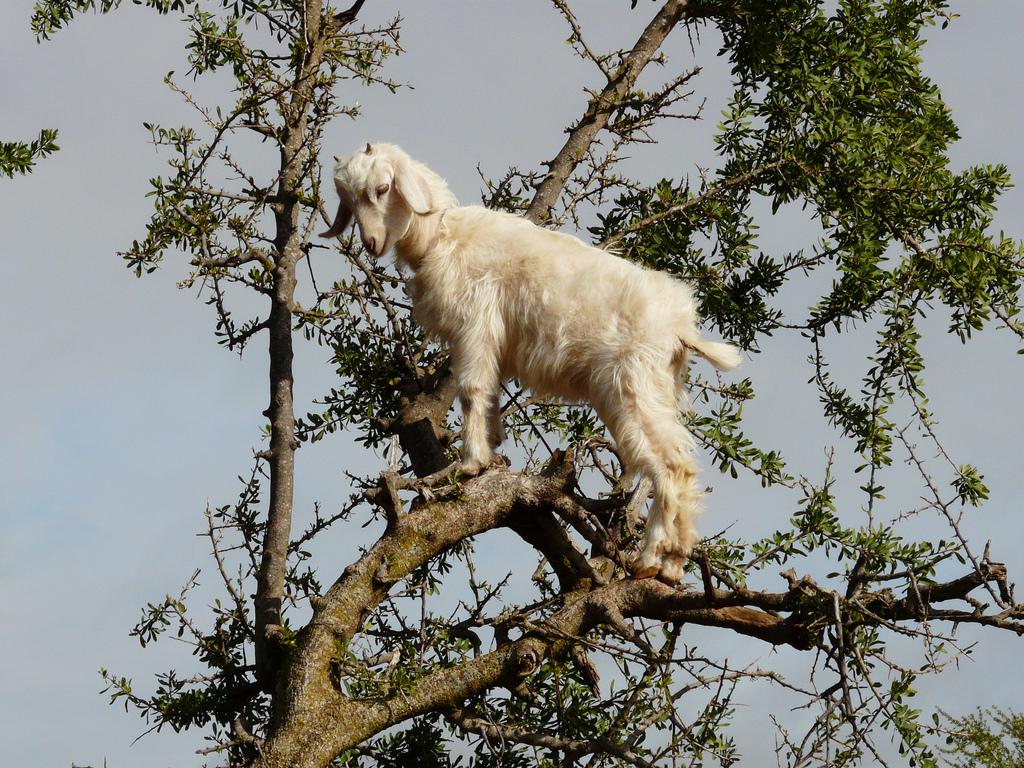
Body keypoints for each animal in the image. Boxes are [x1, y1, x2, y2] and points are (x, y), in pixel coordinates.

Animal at [323, 143, 741, 581]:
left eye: (382, 188)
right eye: (347, 198)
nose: (371, 241)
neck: (441, 235)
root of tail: (680, 325)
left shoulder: (475, 325)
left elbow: (471, 390)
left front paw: (469, 464)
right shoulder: (493, 342)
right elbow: (490, 393)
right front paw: (492, 451)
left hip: (632, 384)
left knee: (672, 464)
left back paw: (651, 560)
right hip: (656, 386)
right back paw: (673, 564)